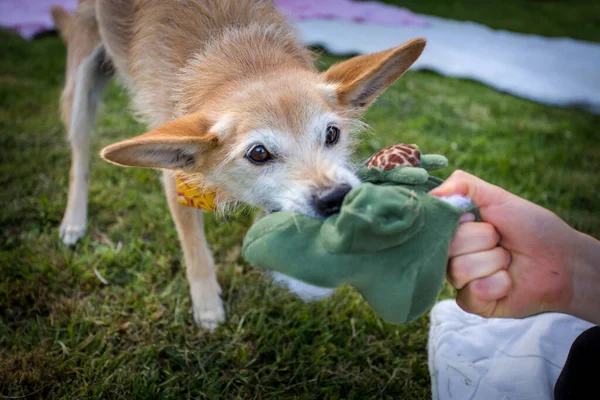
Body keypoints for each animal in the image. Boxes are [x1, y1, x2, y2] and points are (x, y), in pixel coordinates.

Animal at [52, 0, 426, 330]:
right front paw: (207, 305)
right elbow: (194, 248)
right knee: (79, 157)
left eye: (332, 134)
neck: (241, 60)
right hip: (82, 86)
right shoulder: (177, 179)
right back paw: (74, 219)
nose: (335, 197)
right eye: (258, 153)